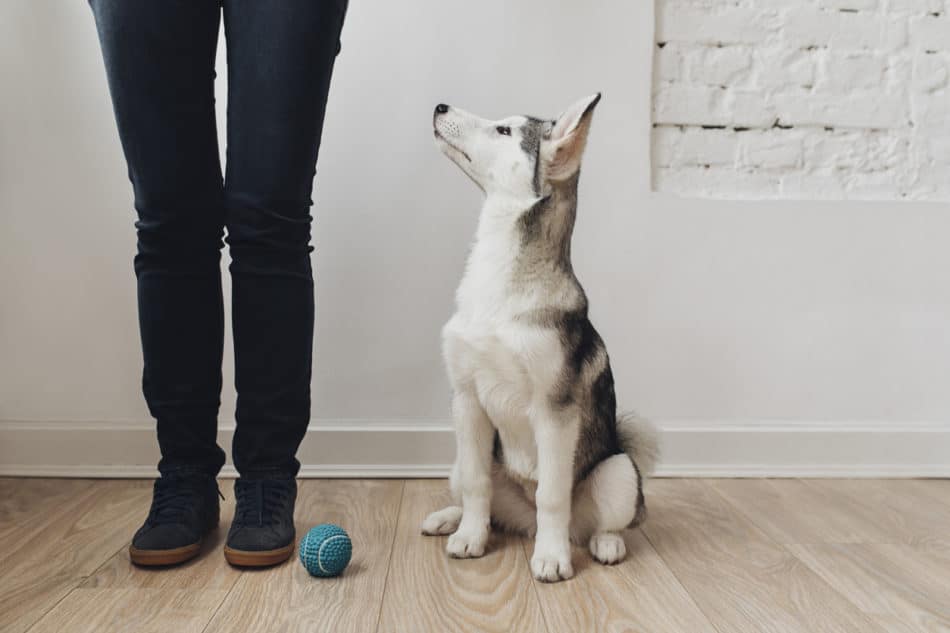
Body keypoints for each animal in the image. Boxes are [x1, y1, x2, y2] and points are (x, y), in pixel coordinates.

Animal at [424, 94, 660, 584]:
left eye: (504, 131)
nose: (439, 106)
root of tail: (524, 522)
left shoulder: (554, 412)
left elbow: (552, 495)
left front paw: (551, 558)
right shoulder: (466, 401)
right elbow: (476, 485)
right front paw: (470, 537)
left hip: (618, 471)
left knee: (595, 520)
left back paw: (604, 543)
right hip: (462, 460)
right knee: (486, 502)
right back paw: (450, 519)